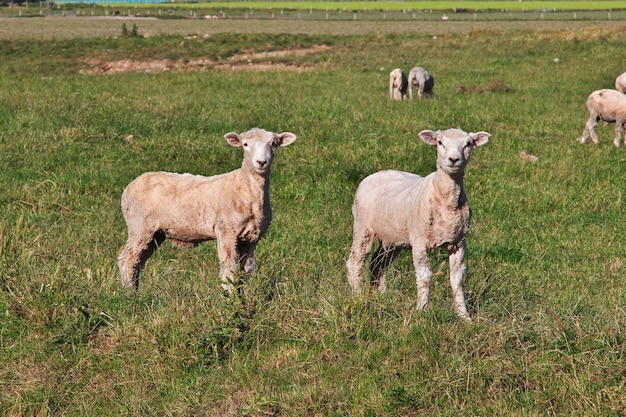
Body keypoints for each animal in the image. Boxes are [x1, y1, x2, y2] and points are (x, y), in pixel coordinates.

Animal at [117, 127, 298, 292]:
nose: (261, 162)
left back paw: (135, 290)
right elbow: (229, 270)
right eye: (245, 144)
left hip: (156, 233)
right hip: (139, 227)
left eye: (273, 144)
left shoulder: (252, 238)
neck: (244, 188)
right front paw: (230, 299)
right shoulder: (226, 232)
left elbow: (245, 271)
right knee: (128, 260)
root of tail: (130, 186)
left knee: (138, 262)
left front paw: (243, 298)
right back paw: (129, 294)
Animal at [346, 128, 488, 320]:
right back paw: (358, 295)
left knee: (378, 263)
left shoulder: (459, 242)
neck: (446, 200)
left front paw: (464, 316)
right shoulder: (420, 241)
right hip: (363, 227)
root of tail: (377, 173)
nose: (453, 159)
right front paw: (422, 310)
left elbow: (457, 278)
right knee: (355, 261)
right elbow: (425, 276)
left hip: (393, 237)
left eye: (468, 144)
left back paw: (383, 296)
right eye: (440, 142)